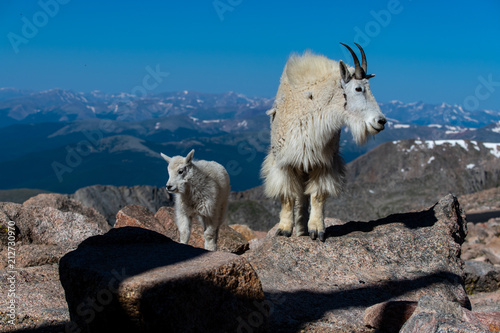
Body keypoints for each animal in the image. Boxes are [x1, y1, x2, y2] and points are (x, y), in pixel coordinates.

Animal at [262, 42, 386, 241]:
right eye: (358, 89)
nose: (381, 121)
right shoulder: (284, 162)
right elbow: (287, 197)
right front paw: (284, 229)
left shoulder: (324, 163)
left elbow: (317, 196)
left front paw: (317, 230)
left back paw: (303, 231)